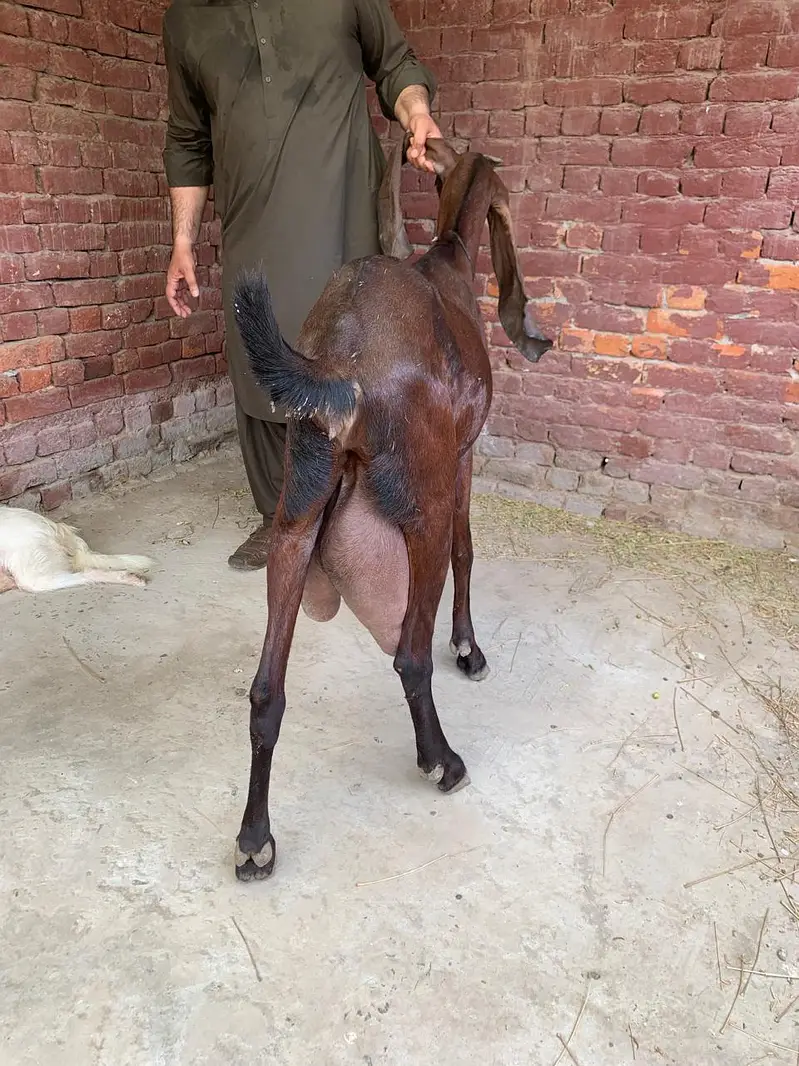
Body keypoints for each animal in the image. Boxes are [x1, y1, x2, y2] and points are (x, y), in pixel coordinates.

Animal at [231, 137, 553, 881]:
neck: (450, 254)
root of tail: (340, 366)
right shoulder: (464, 455)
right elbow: (469, 549)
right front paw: (468, 648)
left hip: (295, 517)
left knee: (265, 691)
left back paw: (256, 838)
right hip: (421, 509)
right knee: (408, 654)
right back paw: (443, 761)